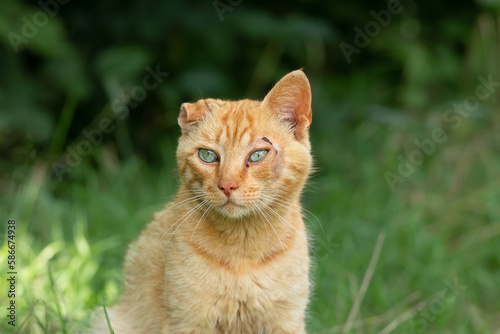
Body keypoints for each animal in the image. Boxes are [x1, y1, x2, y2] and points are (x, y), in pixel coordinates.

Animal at [91, 69, 312, 332]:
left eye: (258, 154)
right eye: (207, 155)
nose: (227, 185)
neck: (242, 248)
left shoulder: (286, 321)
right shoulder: (187, 321)